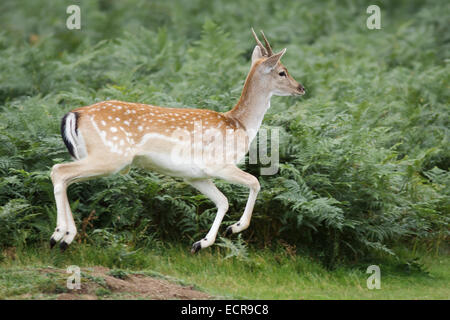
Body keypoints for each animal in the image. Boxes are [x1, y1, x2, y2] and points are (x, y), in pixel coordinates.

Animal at [51, 28, 306, 252]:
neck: (239, 125)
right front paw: (234, 228)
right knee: (59, 171)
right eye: (282, 71)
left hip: (94, 156)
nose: (301, 88)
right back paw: (61, 236)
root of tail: (74, 114)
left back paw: (62, 237)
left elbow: (222, 201)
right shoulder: (218, 164)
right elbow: (254, 182)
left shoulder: (194, 175)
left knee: (63, 176)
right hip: (111, 155)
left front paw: (201, 243)